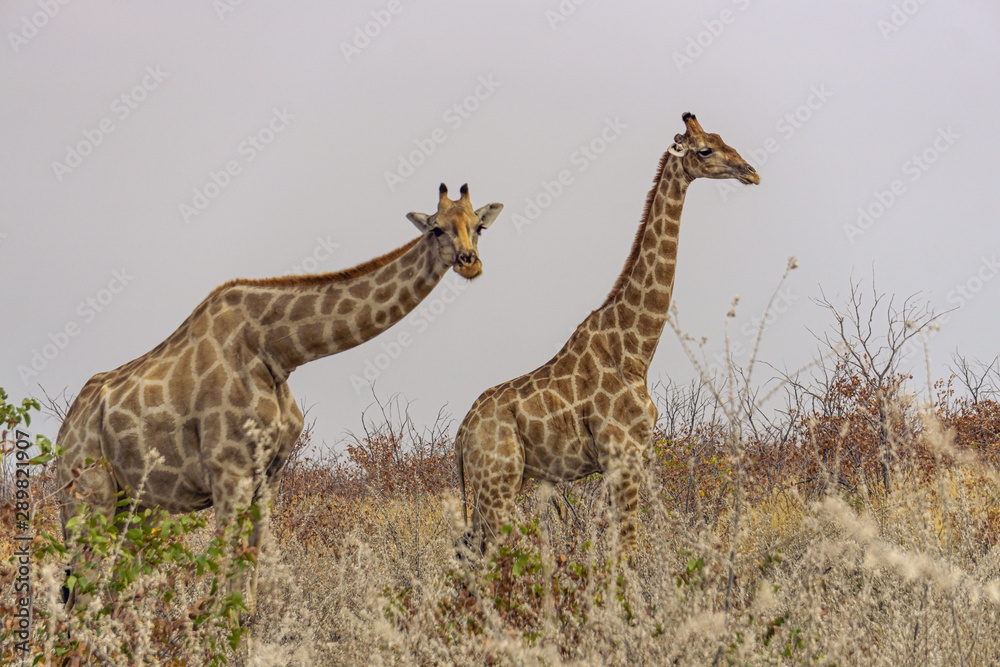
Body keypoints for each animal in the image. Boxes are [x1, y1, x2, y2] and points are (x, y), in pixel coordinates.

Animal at [56, 183, 503, 611]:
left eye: (478, 227)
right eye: (436, 229)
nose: (470, 262)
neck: (277, 352)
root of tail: (64, 431)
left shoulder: (267, 478)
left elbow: (247, 591)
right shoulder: (228, 473)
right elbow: (220, 590)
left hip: (138, 505)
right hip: (87, 497)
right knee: (80, 596)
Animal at [455, 113, 759, 554]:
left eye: (724, 139)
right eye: (705, 150)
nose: (751, 172)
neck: (635, 350)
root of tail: (461, 434)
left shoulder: (635, 457)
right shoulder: (621, 455)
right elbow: (628, 543)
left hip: (497, 484)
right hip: (498, 480)